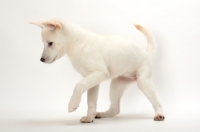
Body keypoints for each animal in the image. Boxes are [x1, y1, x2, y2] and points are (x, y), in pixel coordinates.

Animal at [29, 18, 164, 122]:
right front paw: (89, 118)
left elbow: (78, 85)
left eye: (50, 43)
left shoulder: (99, 73)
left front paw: (73, 104)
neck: (78, 44)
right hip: (116, 86)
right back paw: (102, 114)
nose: (41, 60)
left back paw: (159, 114)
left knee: (157, 102)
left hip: (143, 82)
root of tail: (146, 54)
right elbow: (91, 102)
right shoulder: (93, 80)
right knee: (115, 109)